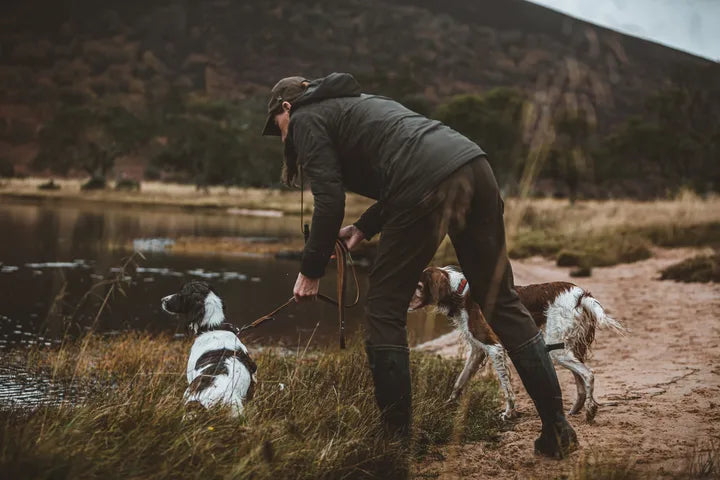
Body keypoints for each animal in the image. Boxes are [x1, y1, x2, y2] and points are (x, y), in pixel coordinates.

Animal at [410, 266, 624, 420]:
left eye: (418, 286)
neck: (460, 294)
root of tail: (581, 295)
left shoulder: (494, 347)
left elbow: (506, 388)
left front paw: (509, 413)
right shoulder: (478, 351)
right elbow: (459, 381)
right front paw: (446, 406)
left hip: (558, 350)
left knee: (588, 374)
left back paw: (589, 410)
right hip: (569, 348)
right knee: (580, 380)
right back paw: (575, 410)